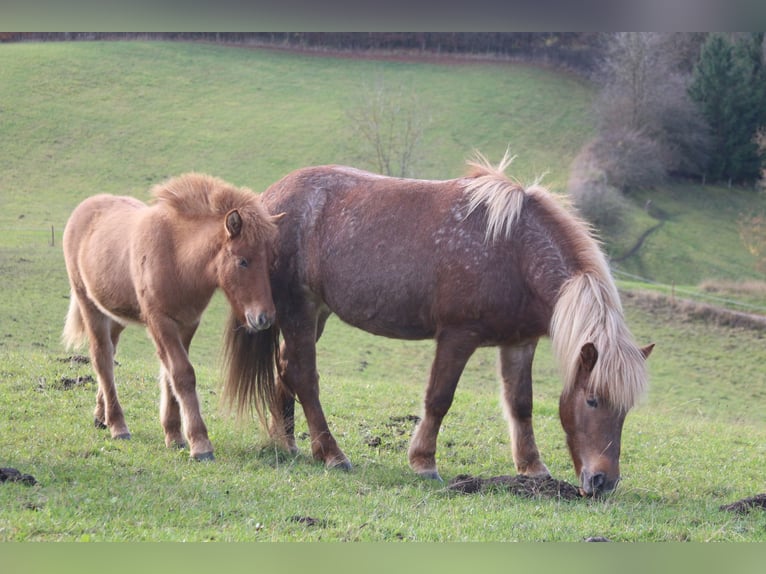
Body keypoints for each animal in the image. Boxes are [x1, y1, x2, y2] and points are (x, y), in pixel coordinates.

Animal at [62, 173, 282, 460]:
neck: (178, 257)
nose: (264, 317)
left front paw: (174, 434)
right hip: (90, 306)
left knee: (110, 352)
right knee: (102, 357)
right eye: (242, 261)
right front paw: (200, 444)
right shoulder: (160, 322)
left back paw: (102, 416)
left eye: (271, 261)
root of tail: (83, 209)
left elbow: (169, 375)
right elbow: (182, 374)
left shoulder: (187, 324)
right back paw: (118, 425)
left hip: (117, 315)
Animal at [225, 153, 653, 496]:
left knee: (286, 369)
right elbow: (439, 398)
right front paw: (423, 462)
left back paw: (289, 445)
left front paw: (533, 468)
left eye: (625, 409)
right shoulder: (457, 336)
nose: (604, 482)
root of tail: (270, 200)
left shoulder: (519, 342)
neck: (514, 250)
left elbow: (521, 404)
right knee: (303, 375)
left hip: (315, 314)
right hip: (299, 309)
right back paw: (332, 454)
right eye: (592, 399)